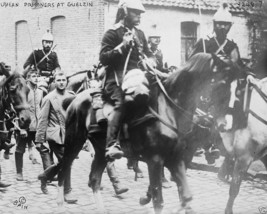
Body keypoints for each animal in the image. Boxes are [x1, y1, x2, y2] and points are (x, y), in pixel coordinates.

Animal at [55, 52, 238, 214]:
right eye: (221, 84)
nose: (225, 124)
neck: (168, 109)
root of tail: (75, 98)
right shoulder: (155, 160)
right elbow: (159, 200)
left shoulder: (175, 158)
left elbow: (186, 196)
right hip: (74, 141)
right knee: (63, 171)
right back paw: (61, 204)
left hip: (101, 150)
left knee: (94, 179)